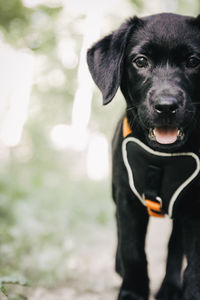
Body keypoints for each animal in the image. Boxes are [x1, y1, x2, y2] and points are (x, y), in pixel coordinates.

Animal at [87, 12, 200, 298]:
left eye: (193, 62)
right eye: (140, 61)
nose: (166, 106)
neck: (162, 156)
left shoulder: (194, 208)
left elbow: (193, 263)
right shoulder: (127, 200)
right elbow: (133, 251)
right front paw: (133, 291)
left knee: (174, 245)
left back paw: (170, 287)